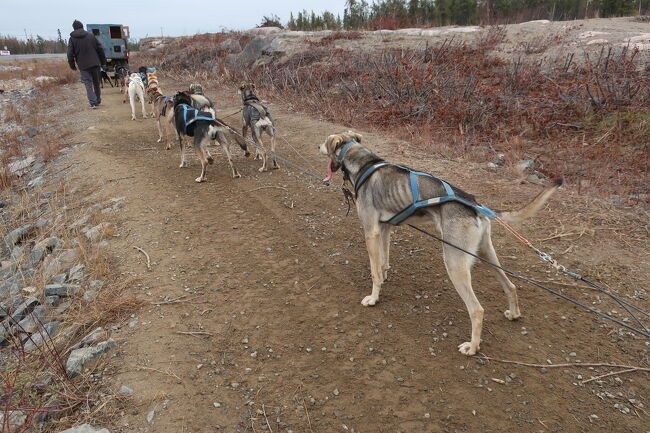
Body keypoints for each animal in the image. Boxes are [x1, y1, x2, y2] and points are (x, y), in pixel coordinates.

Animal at [316, 131, 560, 354]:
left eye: (325, 141)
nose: (317, 145)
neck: (365, 164)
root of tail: (475, 204)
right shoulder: (384, 229)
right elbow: (383, 262)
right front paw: (384, 278)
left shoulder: (371, 232)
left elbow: (374, 271)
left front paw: (374, 298)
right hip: (486, 254)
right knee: (510, 286)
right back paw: (514, 313)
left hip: (454, 263)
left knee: (477, 310)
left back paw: (472, 346)